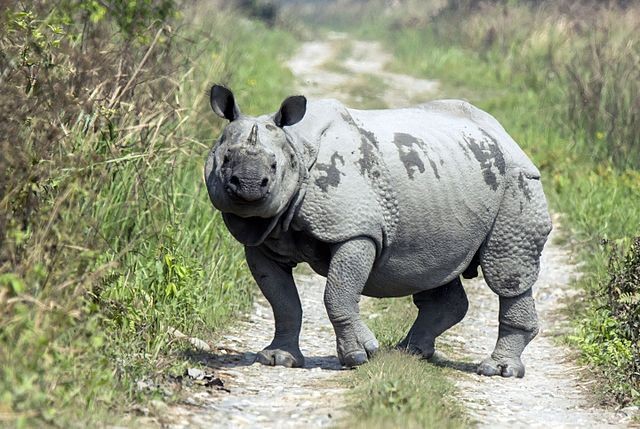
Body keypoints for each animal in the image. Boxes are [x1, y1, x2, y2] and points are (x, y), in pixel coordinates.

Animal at [204, 85, 552, 376]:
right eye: (224, 158)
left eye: (275, 167)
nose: (249, 184)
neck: (296, 147)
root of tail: (505, 135)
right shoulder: (262, 240)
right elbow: (283, 302)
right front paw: (278, 359)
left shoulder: (355, 231)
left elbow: (337, 295)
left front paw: (359, 356)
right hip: (446, 182)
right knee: (436, 268)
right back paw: (408, 353)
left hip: (518, 181)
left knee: (506, 270)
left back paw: (498, 370)